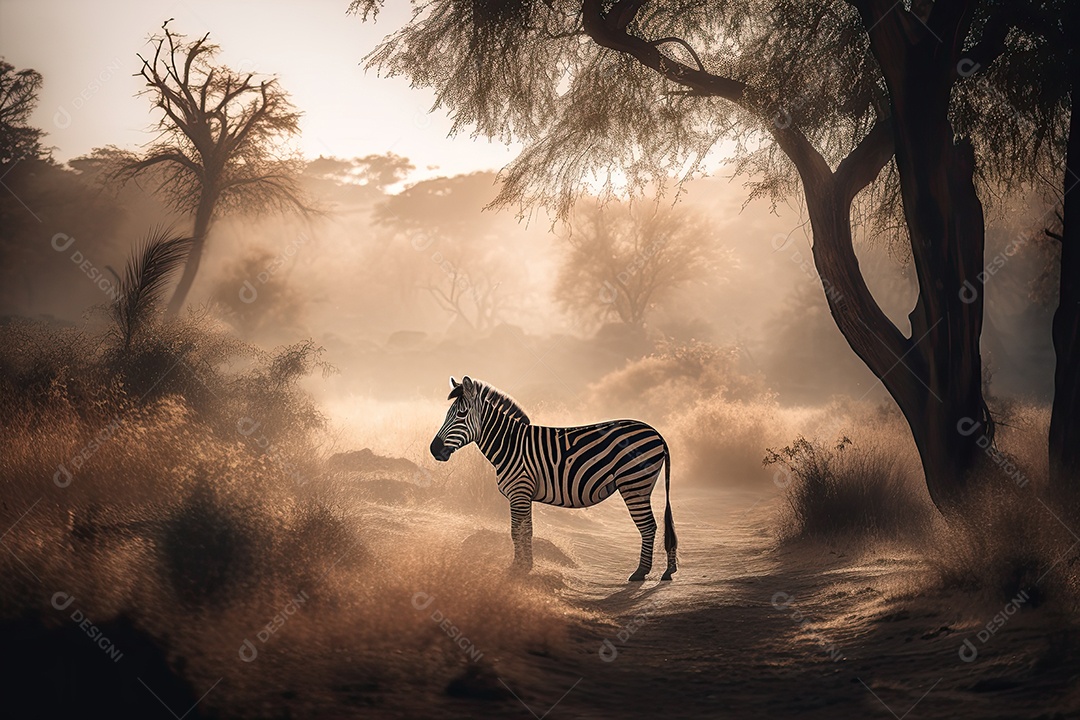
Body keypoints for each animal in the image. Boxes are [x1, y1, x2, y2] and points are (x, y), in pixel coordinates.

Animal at [429, 375, 677, 582]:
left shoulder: (519, 491)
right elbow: (526, 530)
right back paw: (668, 570)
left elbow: (517, 531)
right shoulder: (524, 494)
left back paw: (640, 572)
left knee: (648, 526)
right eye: (447, 414)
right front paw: (525, 566)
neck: (510, 445)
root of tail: (657, 433)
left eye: (461, 415)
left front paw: (517, 568)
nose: (434, 450)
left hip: (634, 483)